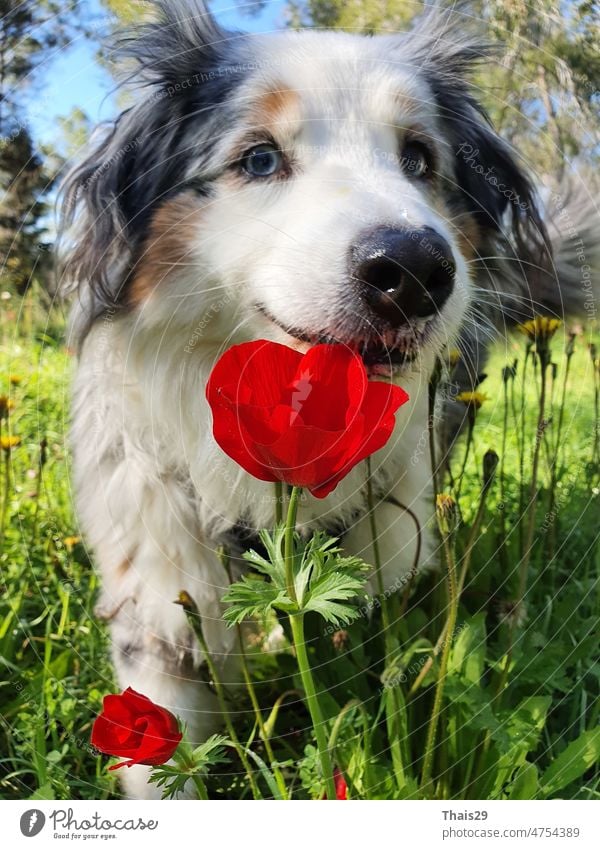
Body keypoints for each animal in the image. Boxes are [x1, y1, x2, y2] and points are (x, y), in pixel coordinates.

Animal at [58, 0, 596, 800]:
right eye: (258, 159)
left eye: (419, 159)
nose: (415, 269)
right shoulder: (159, 595)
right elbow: (162, 753)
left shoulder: (387, 562)